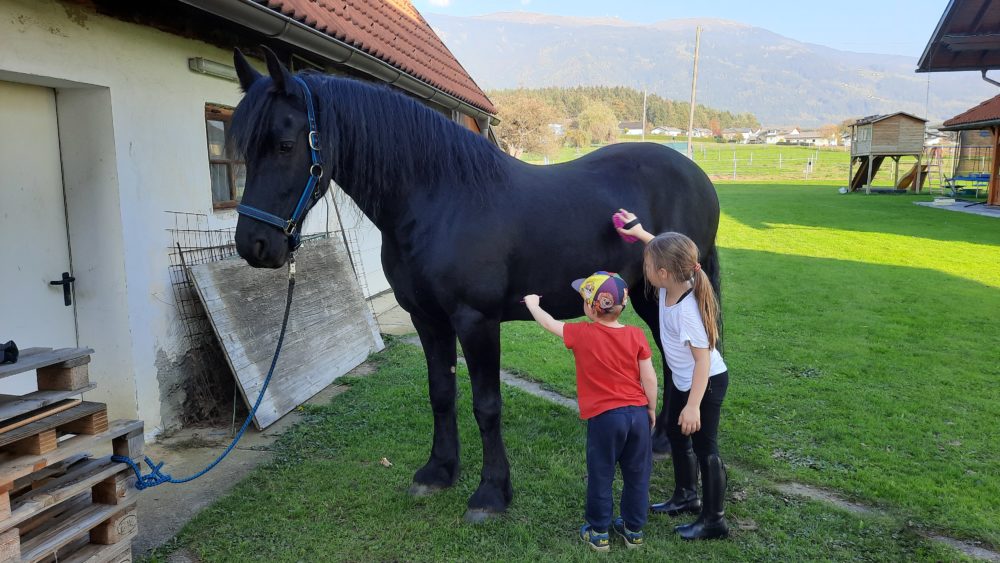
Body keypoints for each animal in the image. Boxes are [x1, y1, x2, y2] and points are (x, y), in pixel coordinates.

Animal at [230, 50, 724, 524]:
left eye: (285, 145)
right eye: (243, 150)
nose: (254, 245)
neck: (439, 199)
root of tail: (696, 174)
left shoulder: (476, 321)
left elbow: (487, 405)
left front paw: (491, 493)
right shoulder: (427, 319)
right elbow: (441, 394)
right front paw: (438, 471)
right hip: (647, 294)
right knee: (670, 359)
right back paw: (661, 441)